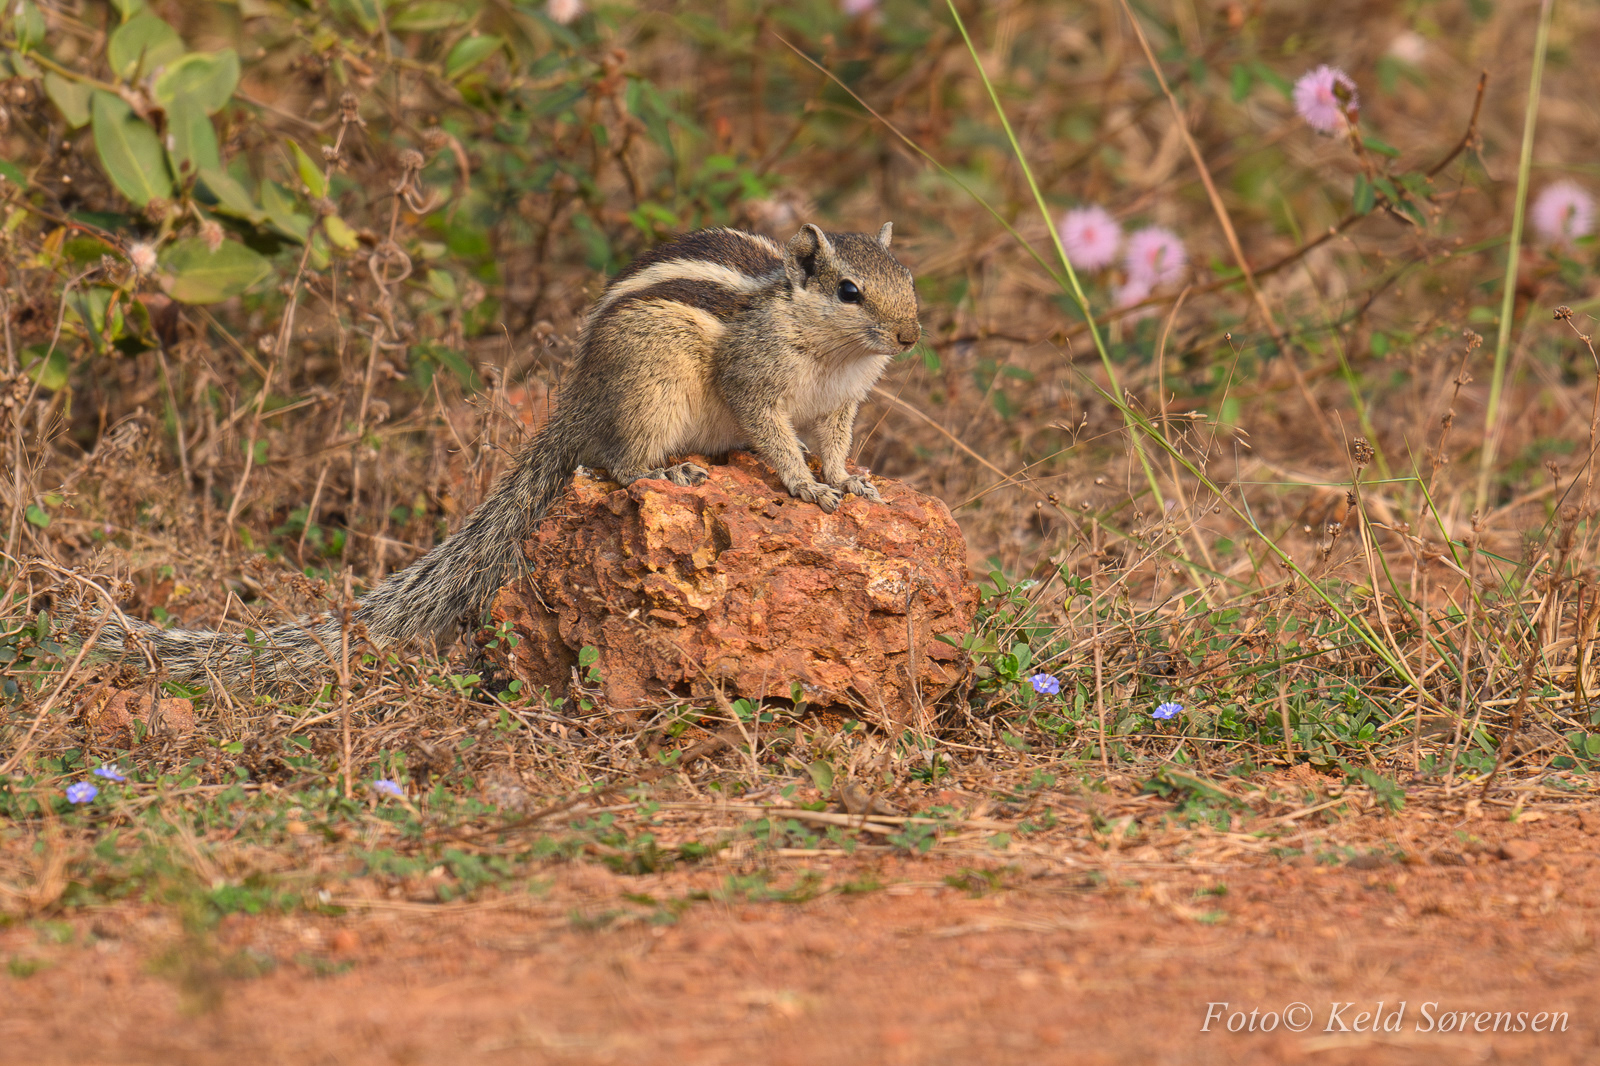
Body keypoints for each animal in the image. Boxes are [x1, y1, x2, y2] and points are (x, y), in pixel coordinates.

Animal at [83, 223, 922, 687]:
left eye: (908, 278)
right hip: (649, 388)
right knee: (617, 462)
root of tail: (577, 401)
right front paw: (806, 488)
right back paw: (668, 470)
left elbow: (836, 443)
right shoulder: (755, 383)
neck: (831, 351)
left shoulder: (844, 403)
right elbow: (774, 435)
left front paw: (852, 482)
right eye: (849, 291)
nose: (913, 335)